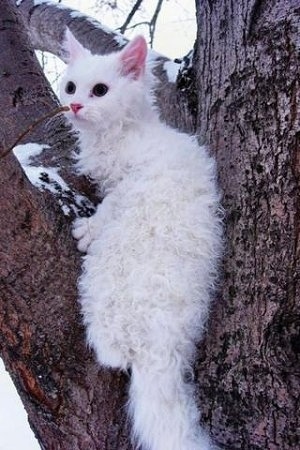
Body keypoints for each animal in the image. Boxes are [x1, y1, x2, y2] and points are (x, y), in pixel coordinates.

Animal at [59, 29, 223, 450]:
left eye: (100, 91)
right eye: (70, 87)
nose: (75, 105)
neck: (121, 135)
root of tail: (159, 349)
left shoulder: (132, 181)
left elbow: (109, 205)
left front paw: (88, 228)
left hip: (104, 285)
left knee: (110, 354)